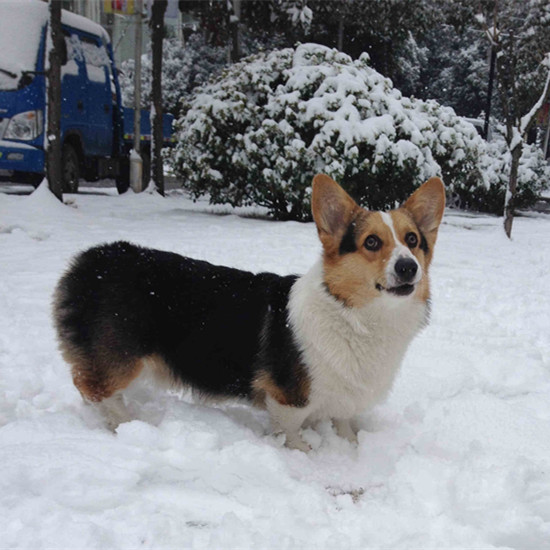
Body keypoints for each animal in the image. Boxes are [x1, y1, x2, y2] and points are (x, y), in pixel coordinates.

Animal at [54, 176, 446, 452]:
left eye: (412, 240)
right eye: (371, 242)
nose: (409, 268)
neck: (358, 317)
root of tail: (91, 260)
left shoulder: (344, 400)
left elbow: (344, 425)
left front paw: (349, 445)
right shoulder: (288, 400)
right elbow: (291, 432)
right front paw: (308, 454)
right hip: (121, 359)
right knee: (94, 388)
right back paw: (125, 424)